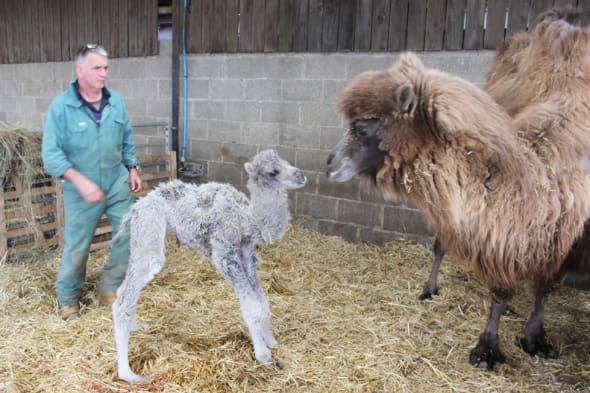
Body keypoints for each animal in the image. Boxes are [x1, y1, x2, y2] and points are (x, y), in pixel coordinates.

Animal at [111, 149, 308, 382]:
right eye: (273, 171)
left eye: (285, 161)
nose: (301, 176)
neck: (246, 220)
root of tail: (136, 207)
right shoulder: (225, 254)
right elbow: (252, 308)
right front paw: (264, 356)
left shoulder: (247, 254)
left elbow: (262, 303)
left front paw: (270, 340)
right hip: (150, 230)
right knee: (126, 296)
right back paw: (128, 374)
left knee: (125, 291)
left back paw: (136, 327)